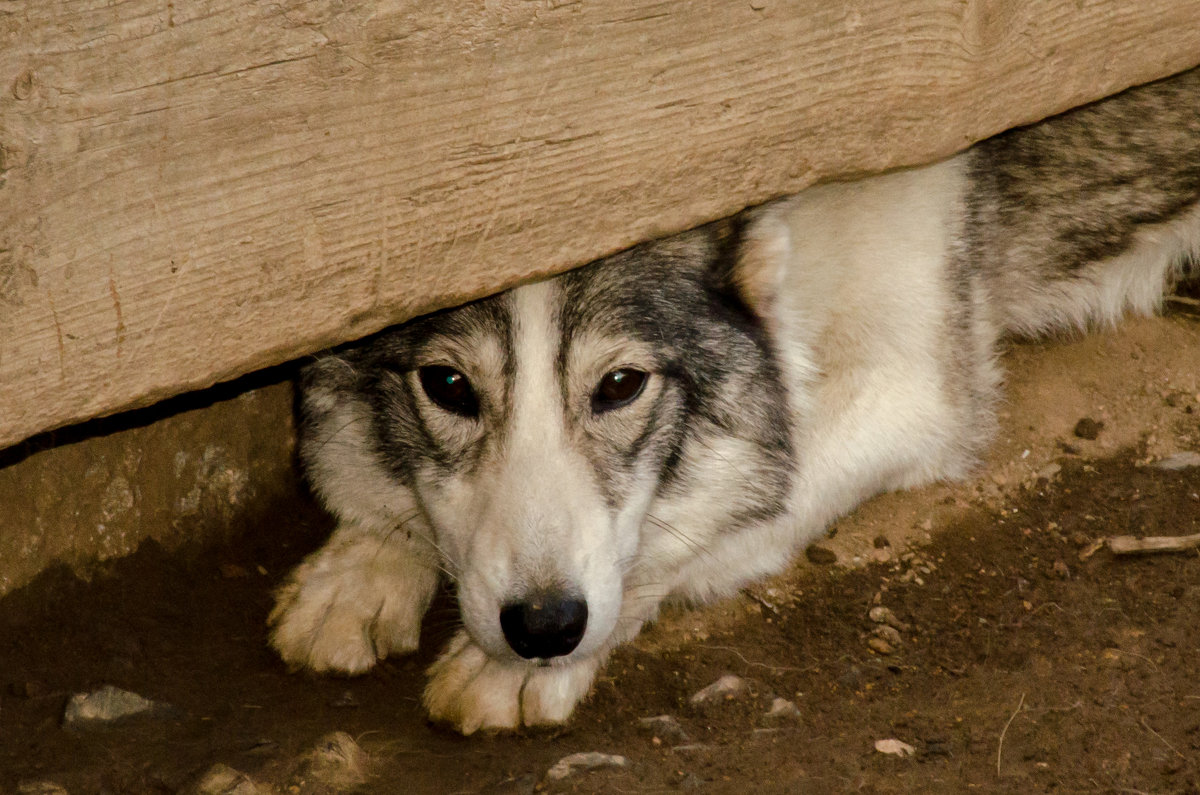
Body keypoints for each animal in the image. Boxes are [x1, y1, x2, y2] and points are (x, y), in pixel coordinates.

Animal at [272, 68, 1200, 734]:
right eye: (448, 387)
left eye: (620, 386)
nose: (542, 626)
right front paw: (364, 561)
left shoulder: (911, 390)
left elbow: (707, 515)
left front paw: (512, 665)